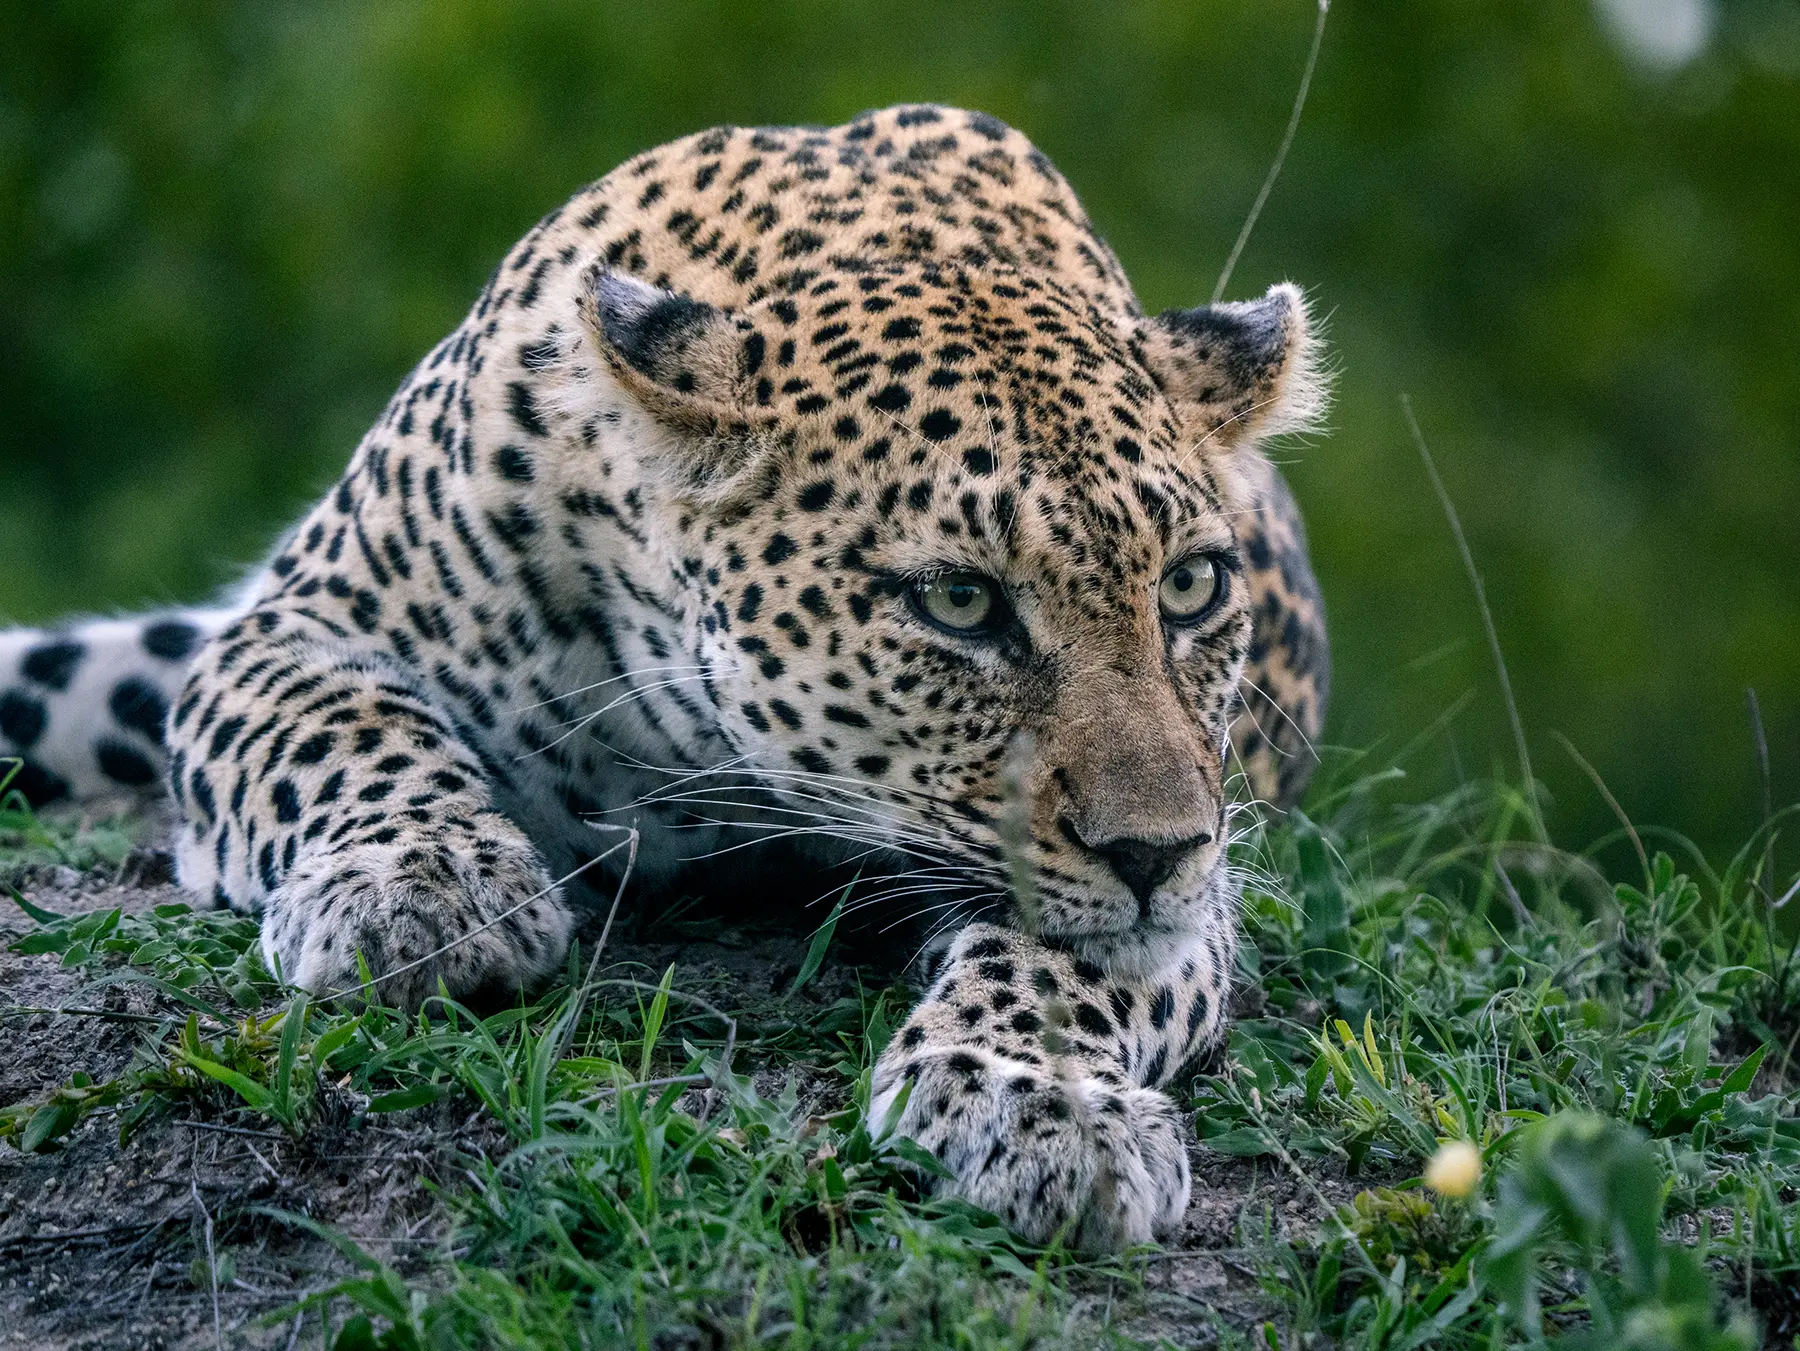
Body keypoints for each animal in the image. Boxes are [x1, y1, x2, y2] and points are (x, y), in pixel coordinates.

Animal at [0, 104, 1330, 1251]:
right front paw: (423, 882)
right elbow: (337, 726)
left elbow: (1077, 964)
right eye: (959, 600)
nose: (1159, 851)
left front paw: (1037, 1097)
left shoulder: (1197, 867)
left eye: (1191, 587)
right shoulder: (293, 624)